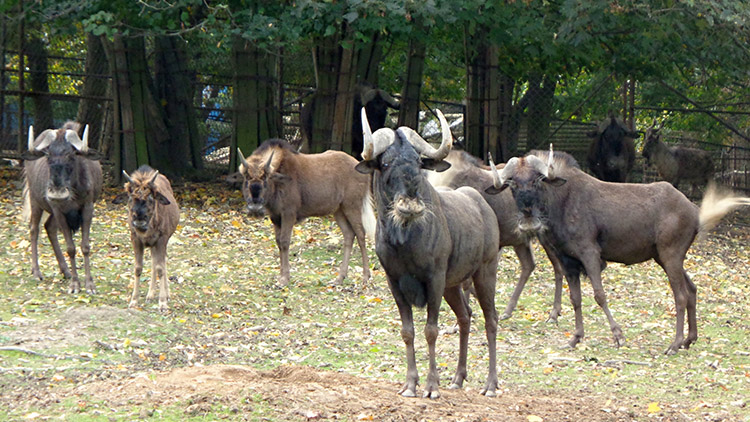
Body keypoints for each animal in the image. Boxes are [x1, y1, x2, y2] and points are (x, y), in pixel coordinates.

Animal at [23, 122, 103, 294]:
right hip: (35, 200)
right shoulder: (59, 210)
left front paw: (89, 284)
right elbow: (71, 248)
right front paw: (75, 284)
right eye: (48, 155)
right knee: (34, 229)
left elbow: (85, 246)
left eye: (71, 155)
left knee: (49, 227)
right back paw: (36, 271)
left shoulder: (87, 208)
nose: (56, 193)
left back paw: (65, 270)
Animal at [114, 166, 180, 312]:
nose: (139, 220)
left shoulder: (161, 240)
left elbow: (160, 268)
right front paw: (134, 301)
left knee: (161, 262)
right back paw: (150, 294)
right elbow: (138, 268)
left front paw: (162, 302)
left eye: (150, 197)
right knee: (154, 262)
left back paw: (165, 294)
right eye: (130, 197)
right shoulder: (136, 239)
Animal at [239, 138, 374, 286]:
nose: (254, 207)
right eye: (246, 178)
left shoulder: (289, 214)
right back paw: (340, 278)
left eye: (265, 178)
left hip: (352, 206)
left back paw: (365, 276)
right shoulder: (275, 217)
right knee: (349, 235)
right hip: (339, 210)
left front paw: (285, 279)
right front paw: (281, 276)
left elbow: (285, 242)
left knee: (361, 235)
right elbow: (278, 242)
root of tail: (364, 173)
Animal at [356, 109, 502, 398]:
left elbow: (431, 331)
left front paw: (432, 386)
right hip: (453, 286)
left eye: (417, 161)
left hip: (485, 273)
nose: (410, 206)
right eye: (385, 163)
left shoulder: (434, 279)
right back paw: (458, 378)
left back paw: (490, 385)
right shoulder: (395, 282)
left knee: (491, 320)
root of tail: (484, 207)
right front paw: (410, 384)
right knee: (465, 316)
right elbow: (408, 331)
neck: (404, 242)